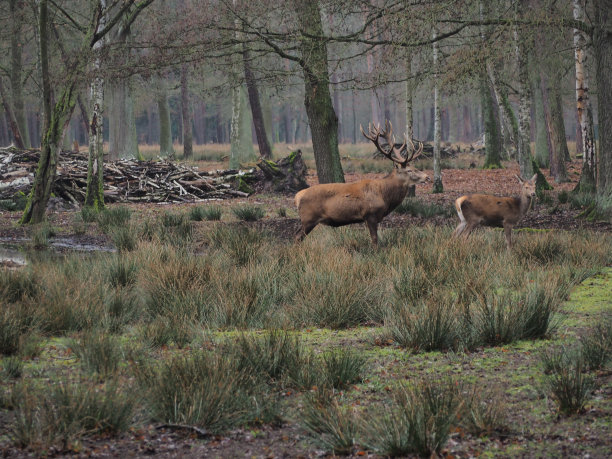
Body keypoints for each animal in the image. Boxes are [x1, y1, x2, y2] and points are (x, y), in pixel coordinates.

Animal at [294, 120, 428, 246]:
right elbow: (374, 240)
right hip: (308, 218)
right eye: (409, 170)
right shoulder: (370, 215)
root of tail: (298, 196)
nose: (427, 177)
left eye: (415, 167)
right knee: (297, 237)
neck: (384, 195)